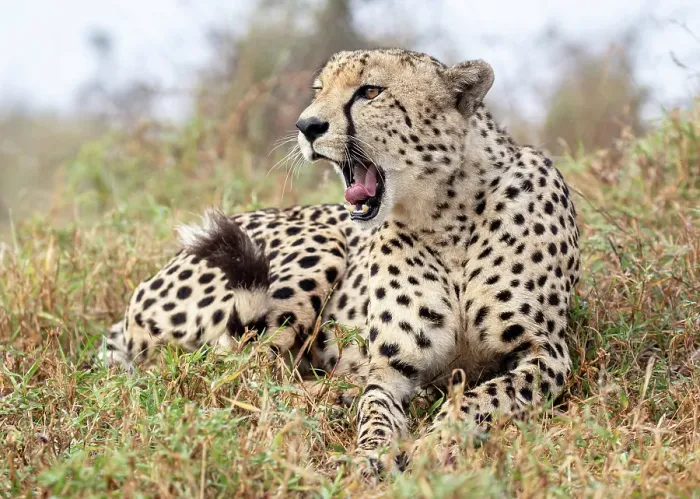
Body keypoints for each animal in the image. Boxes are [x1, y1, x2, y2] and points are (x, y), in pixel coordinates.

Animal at [101, 48, 581, 474]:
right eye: (319, 89)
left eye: (369, 91)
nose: (306, 125)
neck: (446, 215)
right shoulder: (391, 365)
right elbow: (375, 409)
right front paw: (370, 455)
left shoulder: (545, 351)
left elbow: (485, 397)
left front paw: (437, 443)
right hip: (319, 244)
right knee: (241, 372)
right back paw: (335, 393)